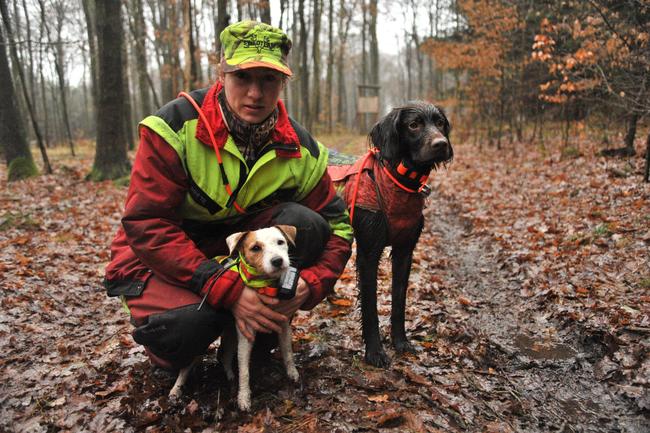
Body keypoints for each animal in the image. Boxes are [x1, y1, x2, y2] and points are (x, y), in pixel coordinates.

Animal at [167, 224, 298, 410]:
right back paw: (176, 390)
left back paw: (229, 376)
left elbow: (287, 352)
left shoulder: (283, 326)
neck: (264, 286)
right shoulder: (246, 335)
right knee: (187, 367)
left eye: (280, 242)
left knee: (225, 356)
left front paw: (292, 372)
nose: (278, 261)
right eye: (255, 248)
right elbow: (244, 370)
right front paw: (244, 397)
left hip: (230, 336)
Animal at [330, 102, 450, 368]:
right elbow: (371, 308)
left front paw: (400, 342)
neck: (398, 181)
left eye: (439, 123)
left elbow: (399, 302)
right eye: (413, 125)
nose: (442, 144)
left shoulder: (405, 251)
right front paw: (375, 352)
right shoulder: (368, 253)